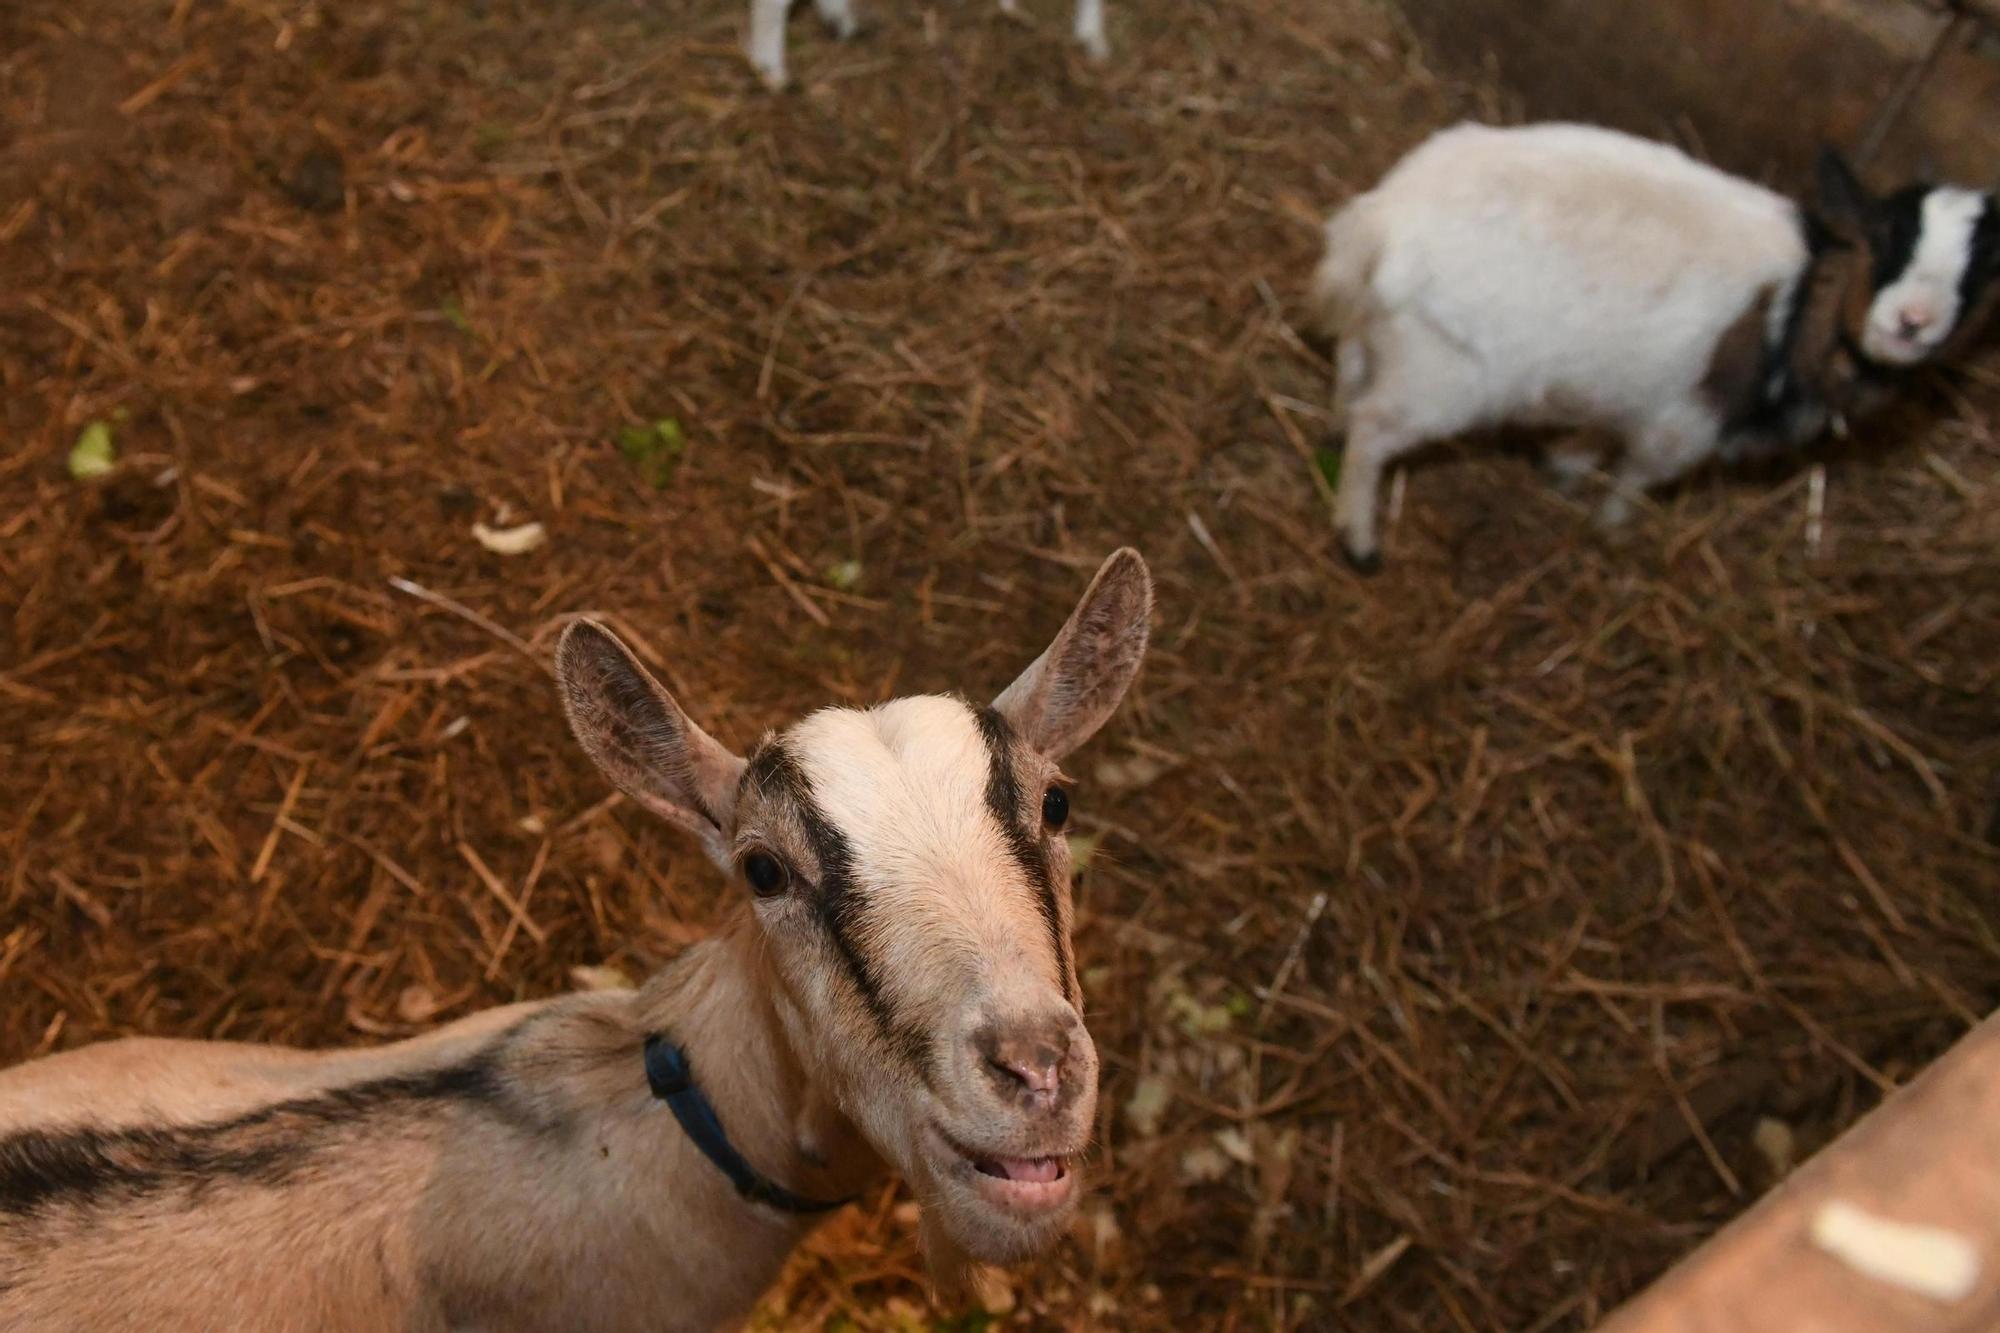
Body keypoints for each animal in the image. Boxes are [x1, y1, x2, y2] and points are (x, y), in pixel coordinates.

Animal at [1304, 118, 2000, 564]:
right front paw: (1610, 531)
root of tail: (1384, 220)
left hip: (1389, 329)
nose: (1913, 320)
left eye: (1983, 272)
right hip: (1446, 373)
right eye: (1884, 238)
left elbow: (1598, 433)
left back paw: (1333, 436)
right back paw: (1358, 537)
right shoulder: (1685, 423)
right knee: (1376, 427)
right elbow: (1637, 475)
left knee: (1351, 367)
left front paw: (1564, 466)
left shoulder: (1629, 389)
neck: (1802, 310)